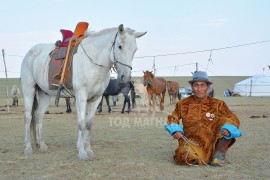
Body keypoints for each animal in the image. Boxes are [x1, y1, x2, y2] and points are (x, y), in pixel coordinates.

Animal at [21, 24, 147, 160]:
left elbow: (88, 124)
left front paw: (88, 150)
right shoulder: (81, 96)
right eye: (119, 46)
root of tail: (29, 53)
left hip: (45, 94)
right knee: (28, 117)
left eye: (135, 50)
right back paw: (28, 147)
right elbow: (81, 123)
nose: (125, 77)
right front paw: (82, 152)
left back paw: (42, 145)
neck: (93, 63)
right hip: (29, 90)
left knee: (38, 115)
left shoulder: (96, 98)